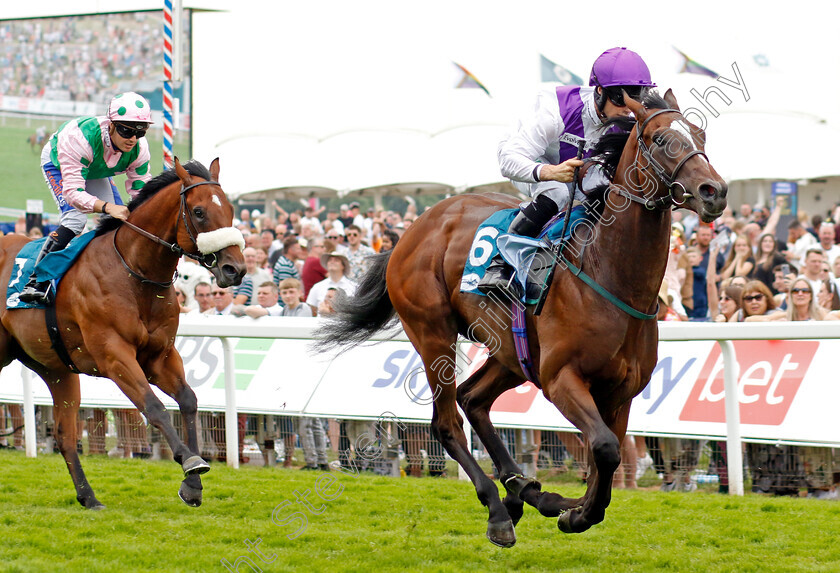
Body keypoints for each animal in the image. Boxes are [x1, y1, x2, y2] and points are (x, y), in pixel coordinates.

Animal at [0, 159, 248, 508]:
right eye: (199, 211)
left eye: (230, 208)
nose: (235, 269)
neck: (134, 272)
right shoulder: (114, 355)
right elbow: (154, 406)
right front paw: (189, 460)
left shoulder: (160, 355)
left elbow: (188, 400)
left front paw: (193, 485)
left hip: (55, 368)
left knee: (65, 434)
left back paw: (89, 497)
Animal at [318, 90, 724, 544]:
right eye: (659, 139)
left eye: (701, 134)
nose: (714, 191)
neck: (612, 275)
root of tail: (412, 229)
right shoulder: (561, 378)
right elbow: (604, 448)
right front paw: (578, 515)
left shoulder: (621, 391)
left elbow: (608, 455)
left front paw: (576, 507)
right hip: (432, 333)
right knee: (447, 421)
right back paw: (499, 508)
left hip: (511, 350)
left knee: (473, 399)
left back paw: (527, 491)